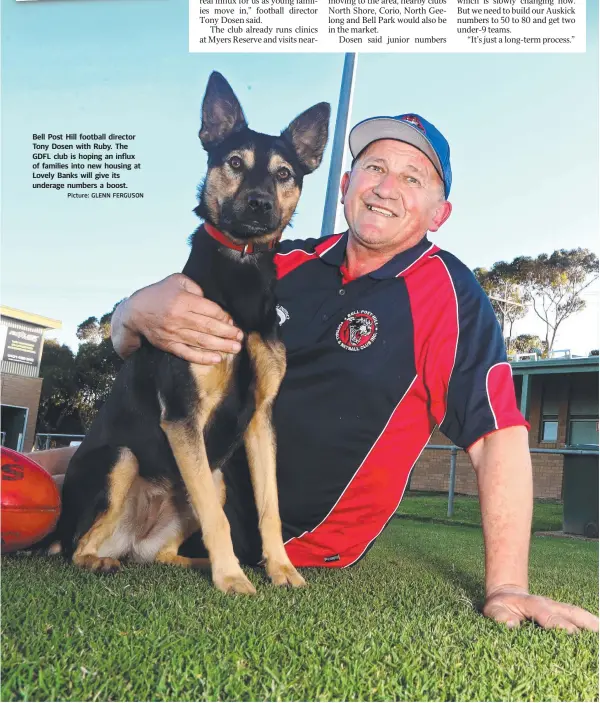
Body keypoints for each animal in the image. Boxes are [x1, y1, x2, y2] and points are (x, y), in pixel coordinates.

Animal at [55, 73, 328, 592]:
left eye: (284, 173)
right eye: (235, 163)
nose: (259, 203)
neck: (241, 270)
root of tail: (128, 539)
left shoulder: (260, 418)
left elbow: (269, 507)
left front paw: (280, 569)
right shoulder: (184, 416)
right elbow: (217, 520)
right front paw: (232, 579)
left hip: (214, 478)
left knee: (158, 554)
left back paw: (200, 563)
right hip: (122, 459)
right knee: (78, 548)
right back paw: (104, 560)